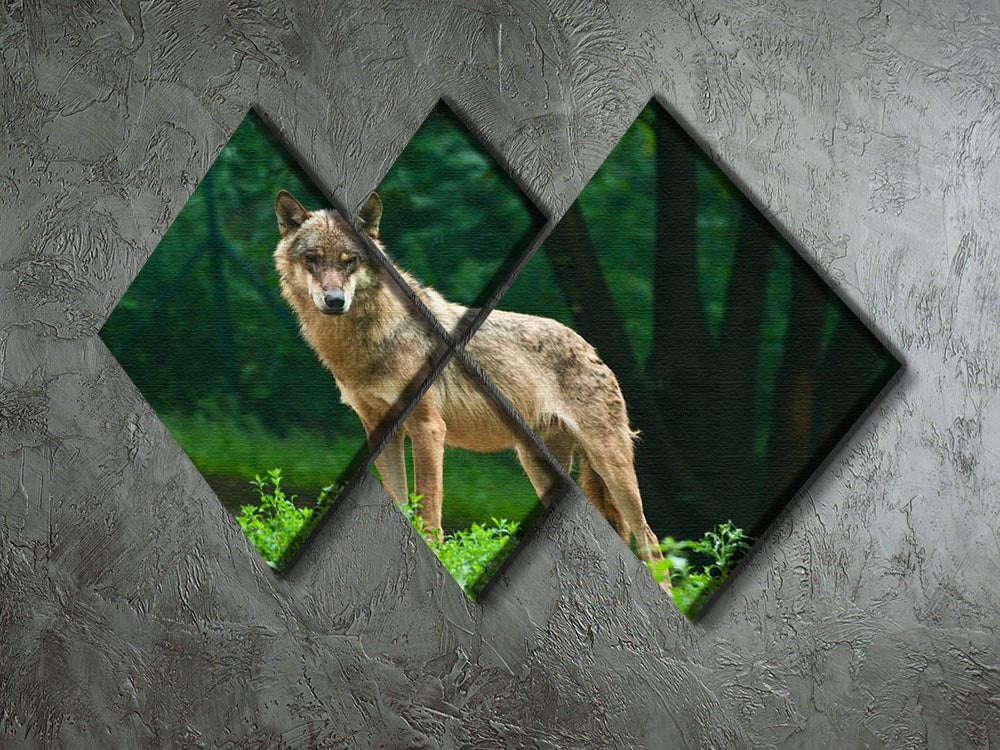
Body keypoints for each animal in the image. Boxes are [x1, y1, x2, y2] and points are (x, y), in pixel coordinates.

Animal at [273, 189, 663, 564]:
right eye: (313, 259)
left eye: (349, 261)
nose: (334, 300)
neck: (368, 342)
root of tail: (591, 348)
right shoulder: (380, 431)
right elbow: (400, 501)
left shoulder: (429, 428)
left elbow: (429, 508)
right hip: (542, 468)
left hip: (611, 466)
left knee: (650, 539)